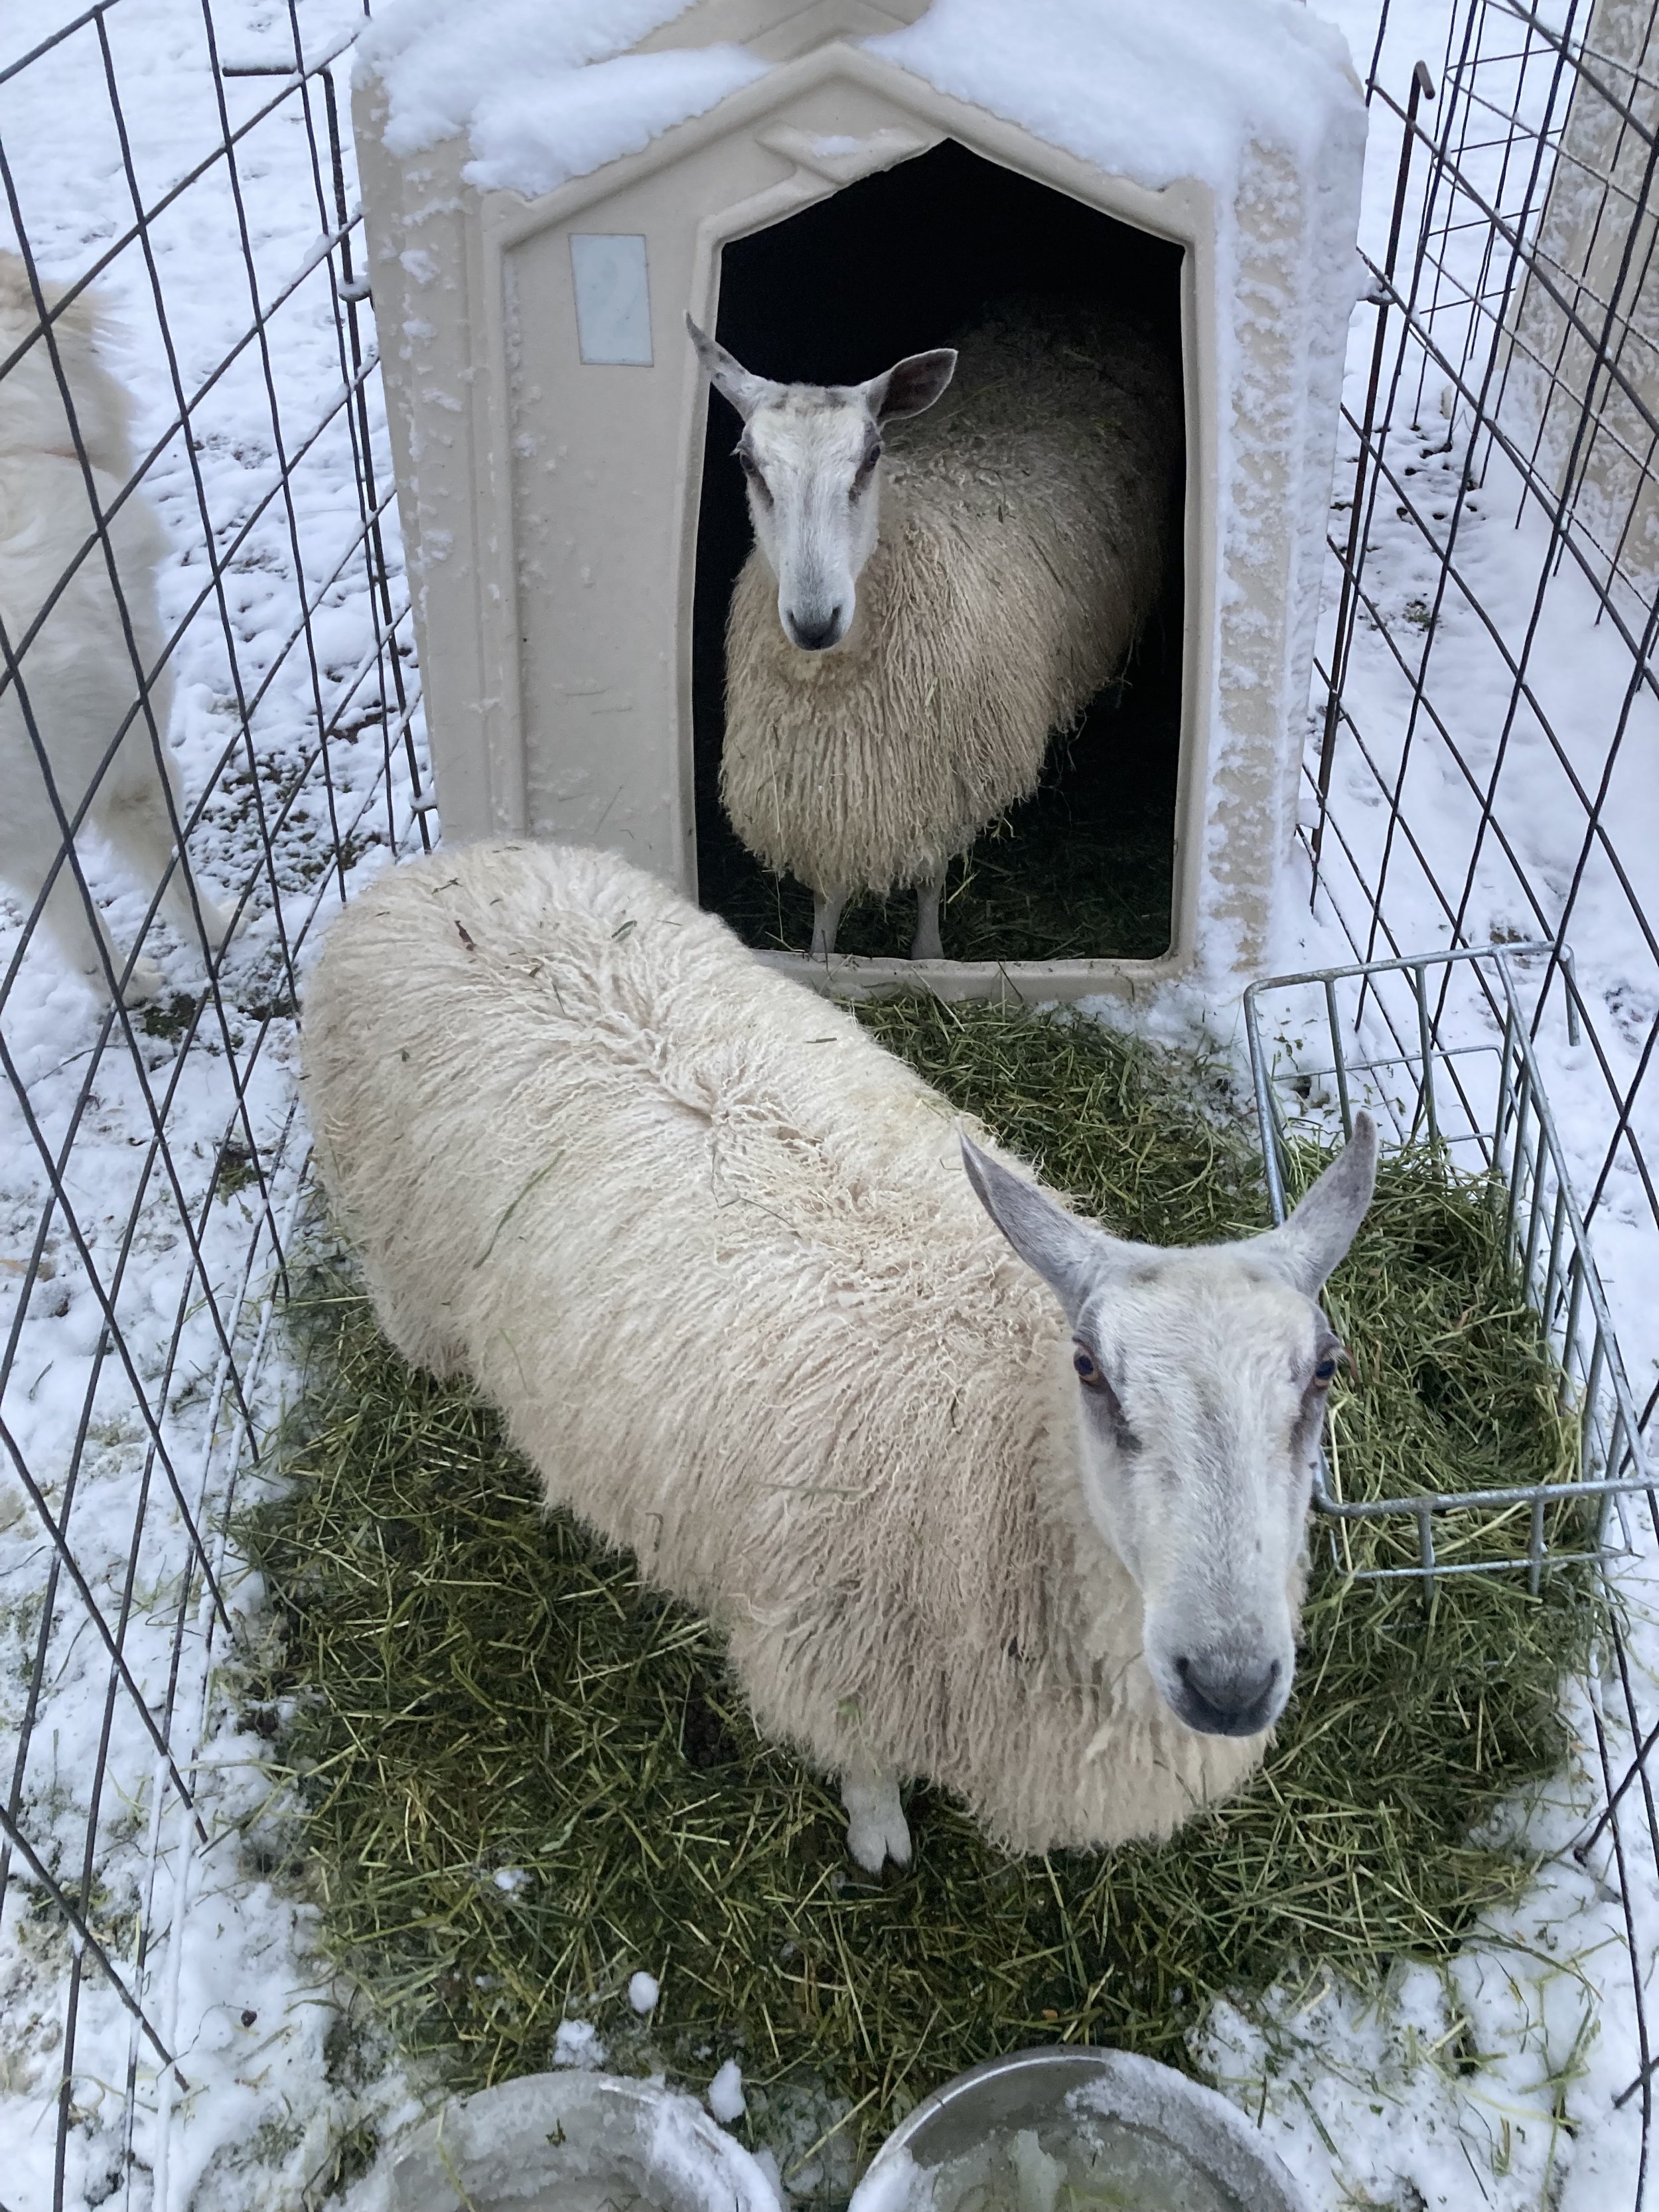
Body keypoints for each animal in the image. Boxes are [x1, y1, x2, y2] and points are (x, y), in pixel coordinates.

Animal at [0, 253, 234, 1004]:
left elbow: (76, 929)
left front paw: (122, 991)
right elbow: (173, 875)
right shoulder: (133, 765)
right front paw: (220, 930)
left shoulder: (37, 834)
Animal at [303, 836, 1380, 1876]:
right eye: (1091, 1373)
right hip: (401, 1244)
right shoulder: (829, 1658)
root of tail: (439, 871)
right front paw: (880, 1841)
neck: (997, 1455)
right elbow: (863, 1770)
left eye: (1326, 1372)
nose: (1230, 1683)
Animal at [694, 140, 1185, 968]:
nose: (815, 619)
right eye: (747, 463)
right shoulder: (831, 791)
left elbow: (928, 878)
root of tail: (1066, 299)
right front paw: (822, 961)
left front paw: (926, 958)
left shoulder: (942, 776)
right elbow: (827, 896)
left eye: (871, 457)